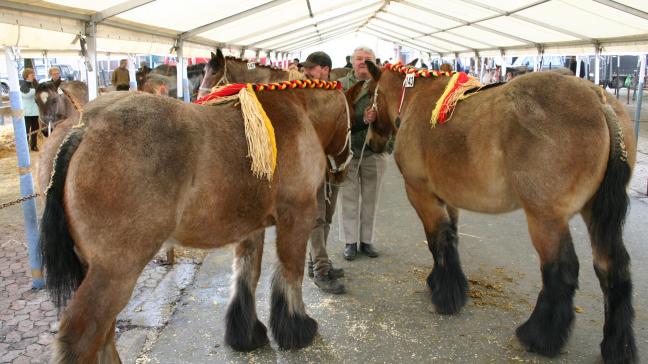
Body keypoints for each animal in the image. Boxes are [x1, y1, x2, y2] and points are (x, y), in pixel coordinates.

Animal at [38, 79, 352, 362]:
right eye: (352, 125)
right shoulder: (297, 218)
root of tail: (85, 127)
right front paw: (297, 328)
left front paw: (247, 335)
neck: (296, 113)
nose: (342, 173)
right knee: (83, 339)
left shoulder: (251, 228)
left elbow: (247, 276)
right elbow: (291, 274)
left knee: (104, 337)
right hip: (115, 273)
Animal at [362, 61, 640, 362]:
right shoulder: (447, 198)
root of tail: (598, 99)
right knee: (612, 268)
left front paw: (445, 297)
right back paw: (617, 347)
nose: (372, 143)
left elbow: (437, 241)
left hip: (546, 219)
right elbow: (450, 239)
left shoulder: (421, 194)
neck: (416, 100)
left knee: (561, 271)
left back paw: (537, 337)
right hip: (594, 214)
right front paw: (444, 284)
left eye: (371, 94)